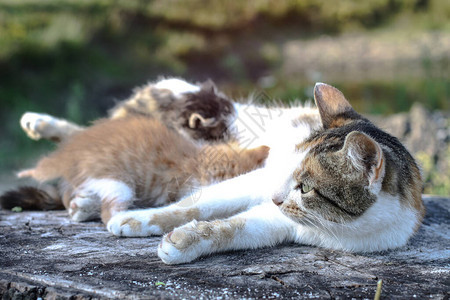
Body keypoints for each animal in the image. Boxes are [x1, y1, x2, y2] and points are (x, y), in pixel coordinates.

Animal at [99, 83, 426, 264]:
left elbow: (228, 228)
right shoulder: (259, 181)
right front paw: (137, 220)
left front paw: (183, 242)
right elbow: (193, 205)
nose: (274, 198)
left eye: (306, 188)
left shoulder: (278, 224)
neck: (342, 227)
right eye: (289, 171)